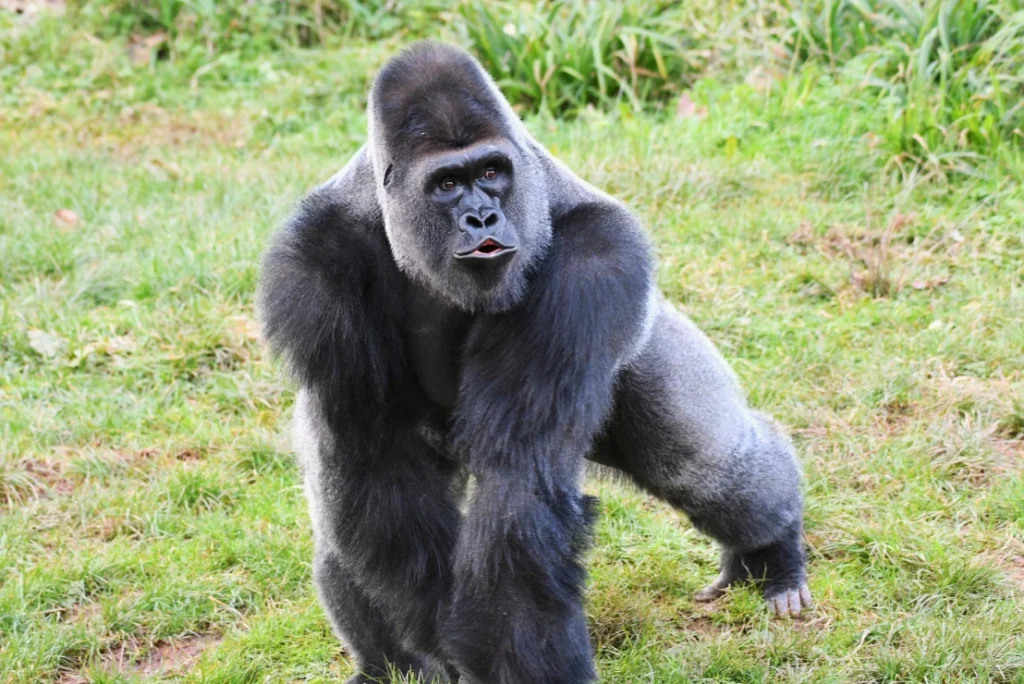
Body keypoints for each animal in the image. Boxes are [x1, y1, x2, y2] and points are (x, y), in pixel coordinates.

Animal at [259, 41, 810, 684]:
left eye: (491, 174)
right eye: (448, 184)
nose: (481, 218)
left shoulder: (594, 259)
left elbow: (518, 478)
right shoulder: (315, 267)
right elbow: (376, 464)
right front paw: (438, 652)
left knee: (702, 465)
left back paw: (771, 553)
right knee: (340, 514)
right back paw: (383, 664)